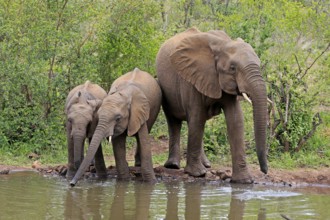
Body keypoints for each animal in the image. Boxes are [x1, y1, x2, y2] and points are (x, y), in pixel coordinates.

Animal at [157, 27, 268, 182]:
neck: (223, 45)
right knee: (175, 121)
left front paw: (244, 181)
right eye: (232, 68)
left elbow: (236, 120)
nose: (265, 171)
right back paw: (173, 165)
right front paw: (197, 173)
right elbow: (197, 116)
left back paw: (206, 164)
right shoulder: (191, 76)